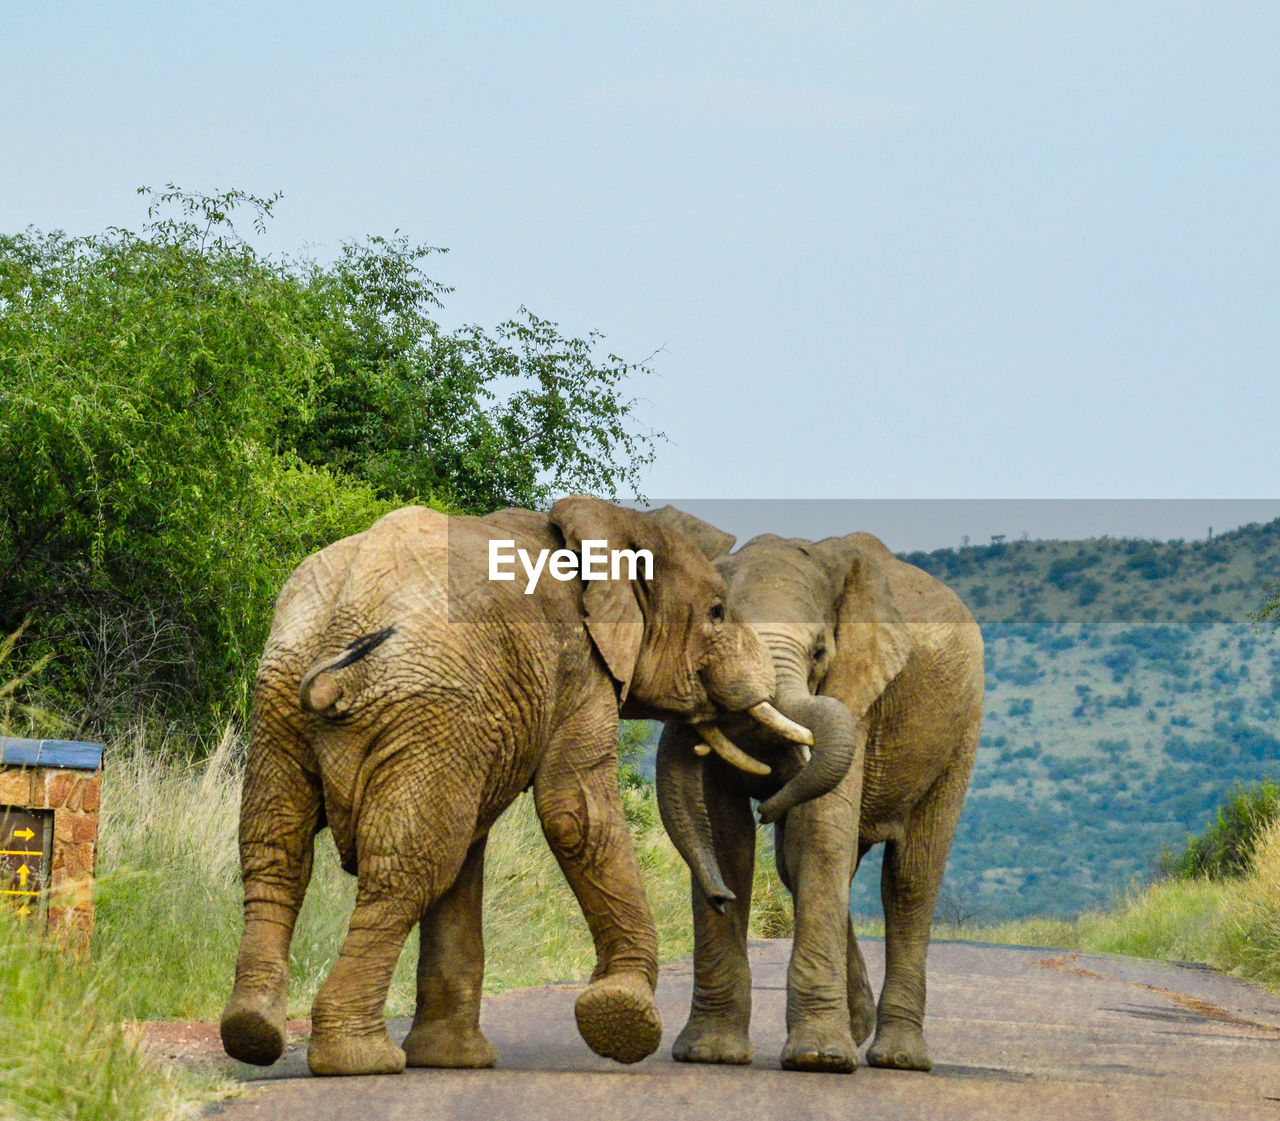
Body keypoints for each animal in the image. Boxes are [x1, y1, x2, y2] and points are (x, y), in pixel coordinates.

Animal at [216, 499, 834, 1074]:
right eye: (717, 611)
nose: (723, 898)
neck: (608, 522)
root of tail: (347, 611)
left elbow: (470, 851)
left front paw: (453, 1062)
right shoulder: (577, 665)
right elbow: (575, 812)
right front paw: (622, 1018)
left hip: (285, 700)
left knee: (277, 850)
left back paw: (253, 1032)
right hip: (418, 706)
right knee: (406, 869)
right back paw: (359, 1060)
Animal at [655, 522, 983, 1074]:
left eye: (818, 653)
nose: (768, 807)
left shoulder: (858, 693)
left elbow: (820, 830)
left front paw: (819, 1059)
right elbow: (725, 838)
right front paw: (709, 1055)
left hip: (962, 730)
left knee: (911, 877)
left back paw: (898, 1058)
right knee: (804, 866)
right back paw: (858, 1029)